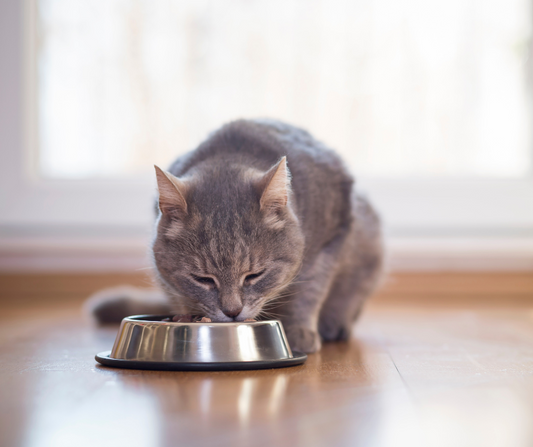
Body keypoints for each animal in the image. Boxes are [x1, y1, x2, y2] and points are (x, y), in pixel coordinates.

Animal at [89, 119, 384, 354]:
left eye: (255, 275)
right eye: (202, 279)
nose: (232, 312)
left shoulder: (330, 240)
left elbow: (309, 291)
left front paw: (300, 331)